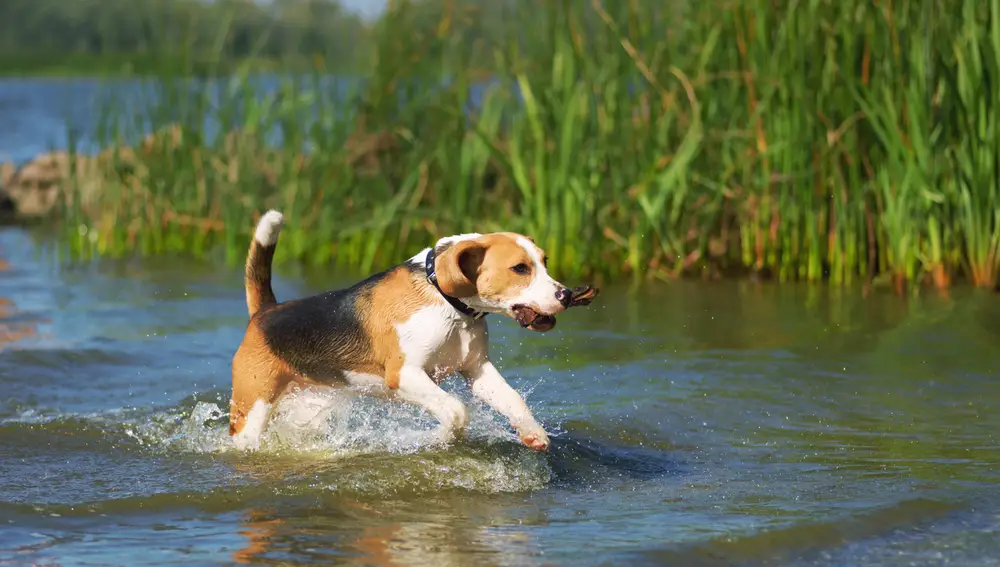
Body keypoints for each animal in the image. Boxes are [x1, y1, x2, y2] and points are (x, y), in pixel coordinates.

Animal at [229, 211, 588, 454]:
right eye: (520, 268)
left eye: (544, 262)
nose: (566, 295)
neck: (447, 302)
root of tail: (265, 312)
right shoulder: (404, 374)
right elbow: (456, 411)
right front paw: (435, 438)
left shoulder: (477, 370)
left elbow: (512, 400)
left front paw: (533, 433)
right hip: (251, 409)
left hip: (311, 403)